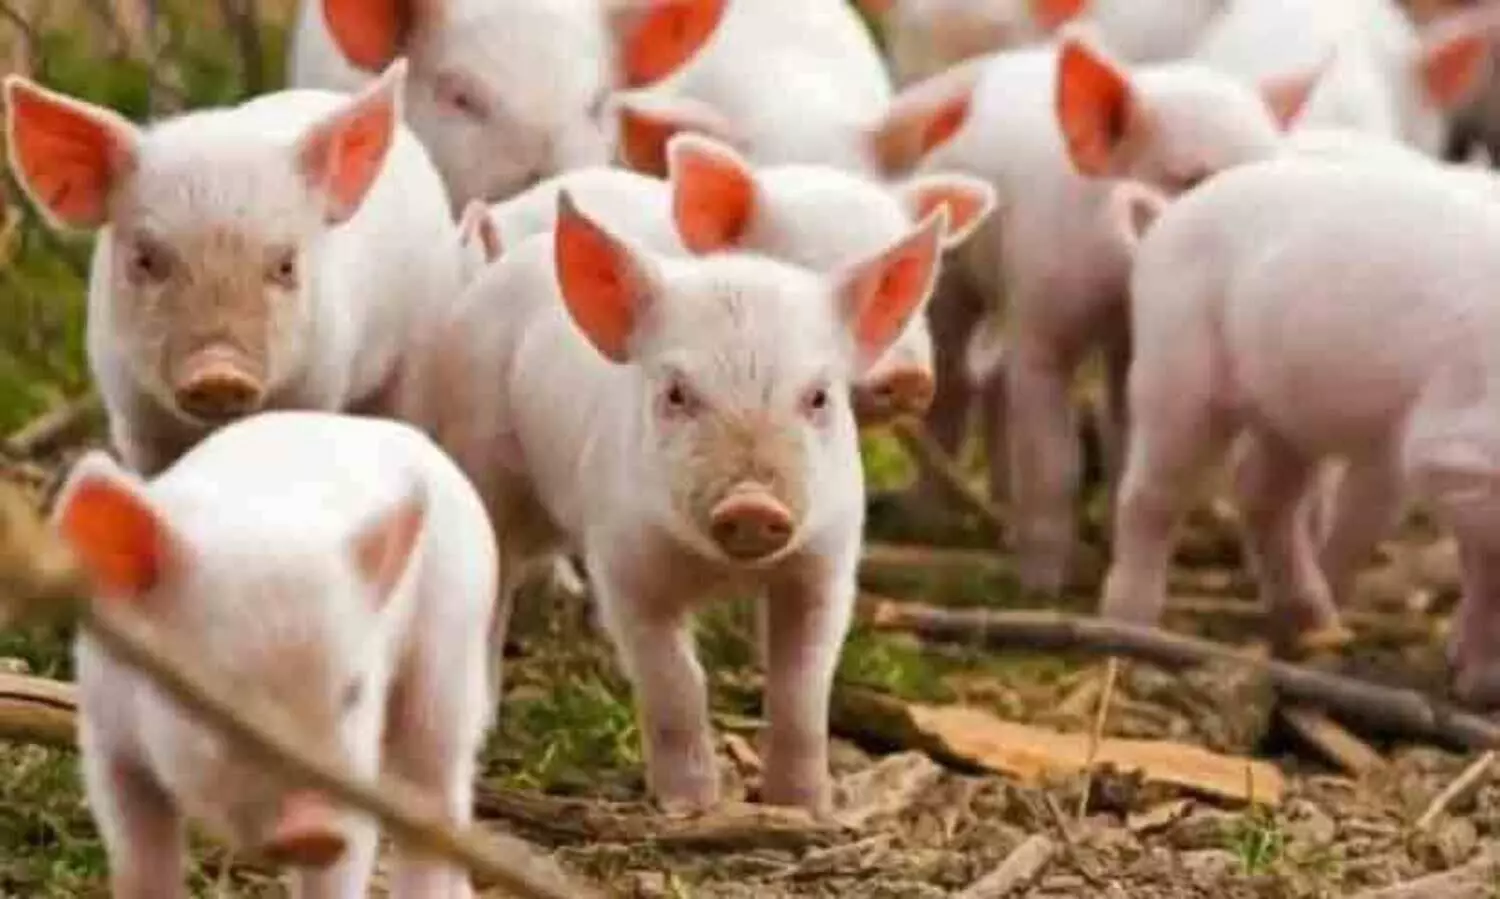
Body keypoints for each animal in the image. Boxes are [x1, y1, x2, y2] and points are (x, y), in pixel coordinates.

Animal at [53, 410, 498, 897]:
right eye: (219, 697)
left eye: (353, 692)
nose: (314, 828)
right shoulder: (107, 738)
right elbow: (140, 864)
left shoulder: (355, 768)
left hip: (452, 649)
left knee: (437, 799)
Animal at [403, 190, 947, 813]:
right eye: (676, 393)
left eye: (818, 397)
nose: (751, 505)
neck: (721, 573)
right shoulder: (624, 562)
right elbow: (675, 682)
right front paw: (692, 806)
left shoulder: (827, 561)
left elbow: (802, 686)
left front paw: (804, 806)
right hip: (481, 456)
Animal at [908, 29, 1321, 593]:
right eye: (1191, 179)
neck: (1117, 293)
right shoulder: (1043, 316)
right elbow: (1054, 457)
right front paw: (1043, 586)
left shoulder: (1132, 343)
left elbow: (1123, 443)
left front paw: (1106, 550)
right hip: (955, 276)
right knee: (954, 382)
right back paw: (934, 520)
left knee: (995, 390)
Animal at [1099, 156, 1500, 703]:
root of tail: (1165, 218)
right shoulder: (1454, 442)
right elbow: (1490, 560)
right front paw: (1481, 687)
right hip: (1173, 362)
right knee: (1149, 495)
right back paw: (1129, 629)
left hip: (1285, 414)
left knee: (1260, 491)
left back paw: (1313, 626)